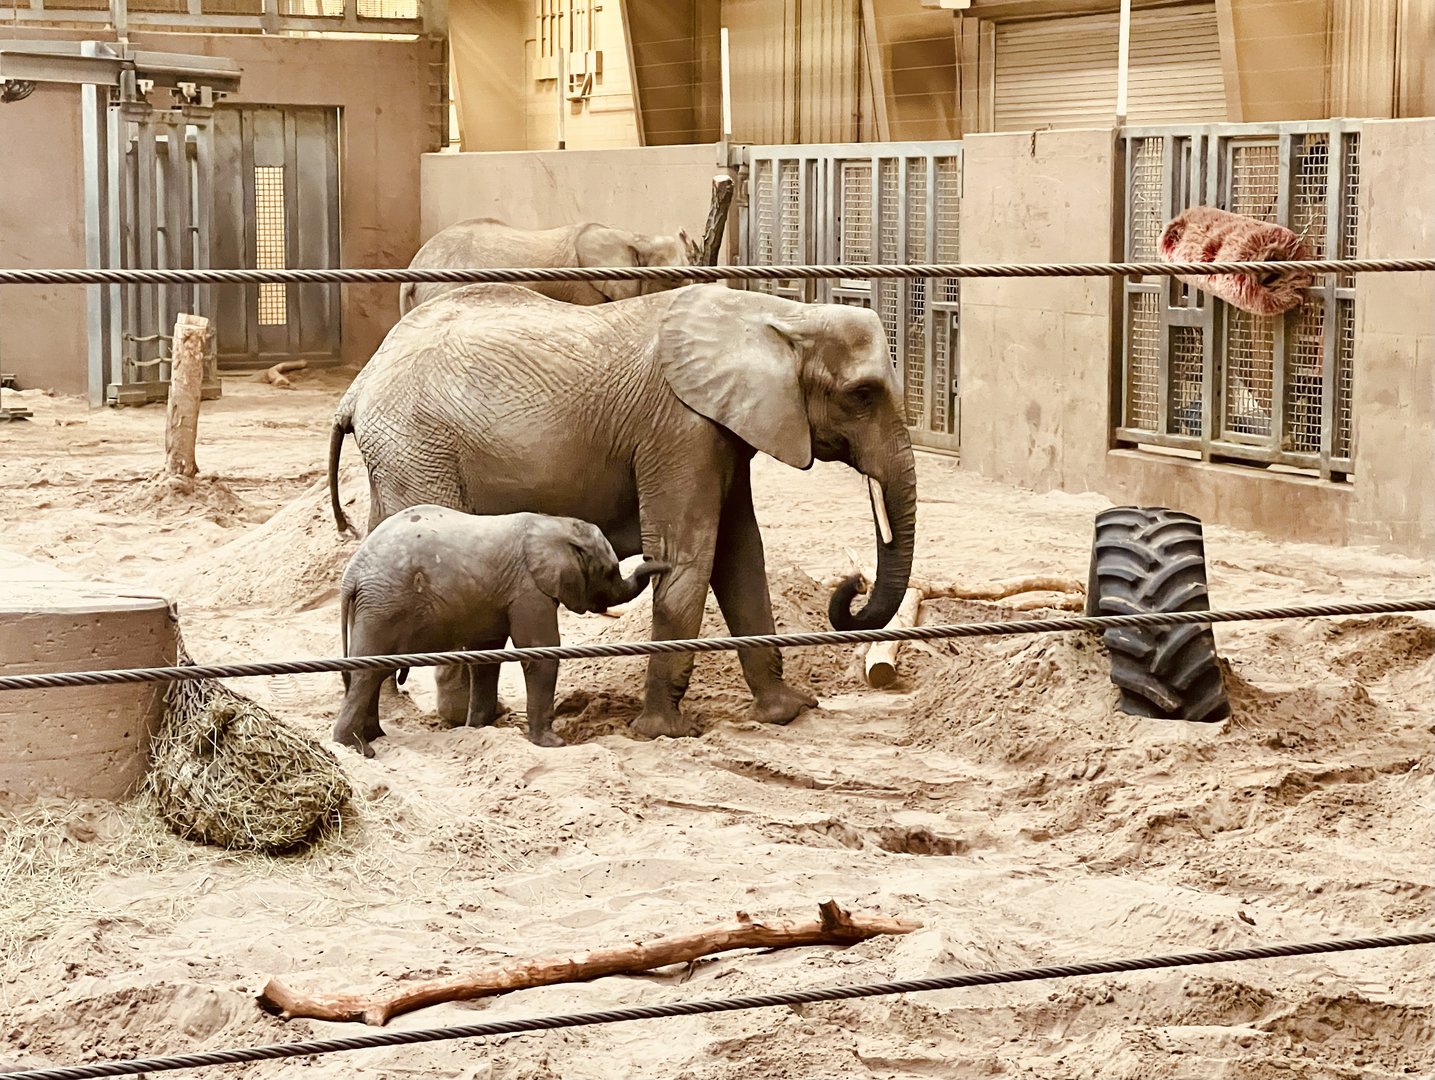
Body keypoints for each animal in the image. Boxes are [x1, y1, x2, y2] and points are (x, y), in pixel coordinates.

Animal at [333, 504, 669, 756]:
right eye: (610, 571)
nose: (660, 561)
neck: (553, 524)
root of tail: (351, 575)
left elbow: (486, 656)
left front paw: (478, 729)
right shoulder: (528, 588)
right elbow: (540, 649)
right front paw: (552, 744)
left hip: (374, 607)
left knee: (371, 670)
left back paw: (372, 737)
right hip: (383, 606)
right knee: (368, 672)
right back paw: (355, 747)